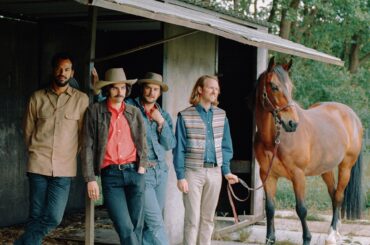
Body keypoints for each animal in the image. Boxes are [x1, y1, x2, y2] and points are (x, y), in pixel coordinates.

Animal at [253, 56, 362, 244]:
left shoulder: (298, 175)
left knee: (338, 196)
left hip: (346, 167)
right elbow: (270, 208)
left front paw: (307, 238)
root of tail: (352, 114)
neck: (274, 140)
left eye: (290, 87)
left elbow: (301, 209)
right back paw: (336, 230)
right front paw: (270, 239)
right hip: (325, 169)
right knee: (334, 195)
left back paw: (332, 235)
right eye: (273, 86)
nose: (292, 123)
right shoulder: (267, 175)